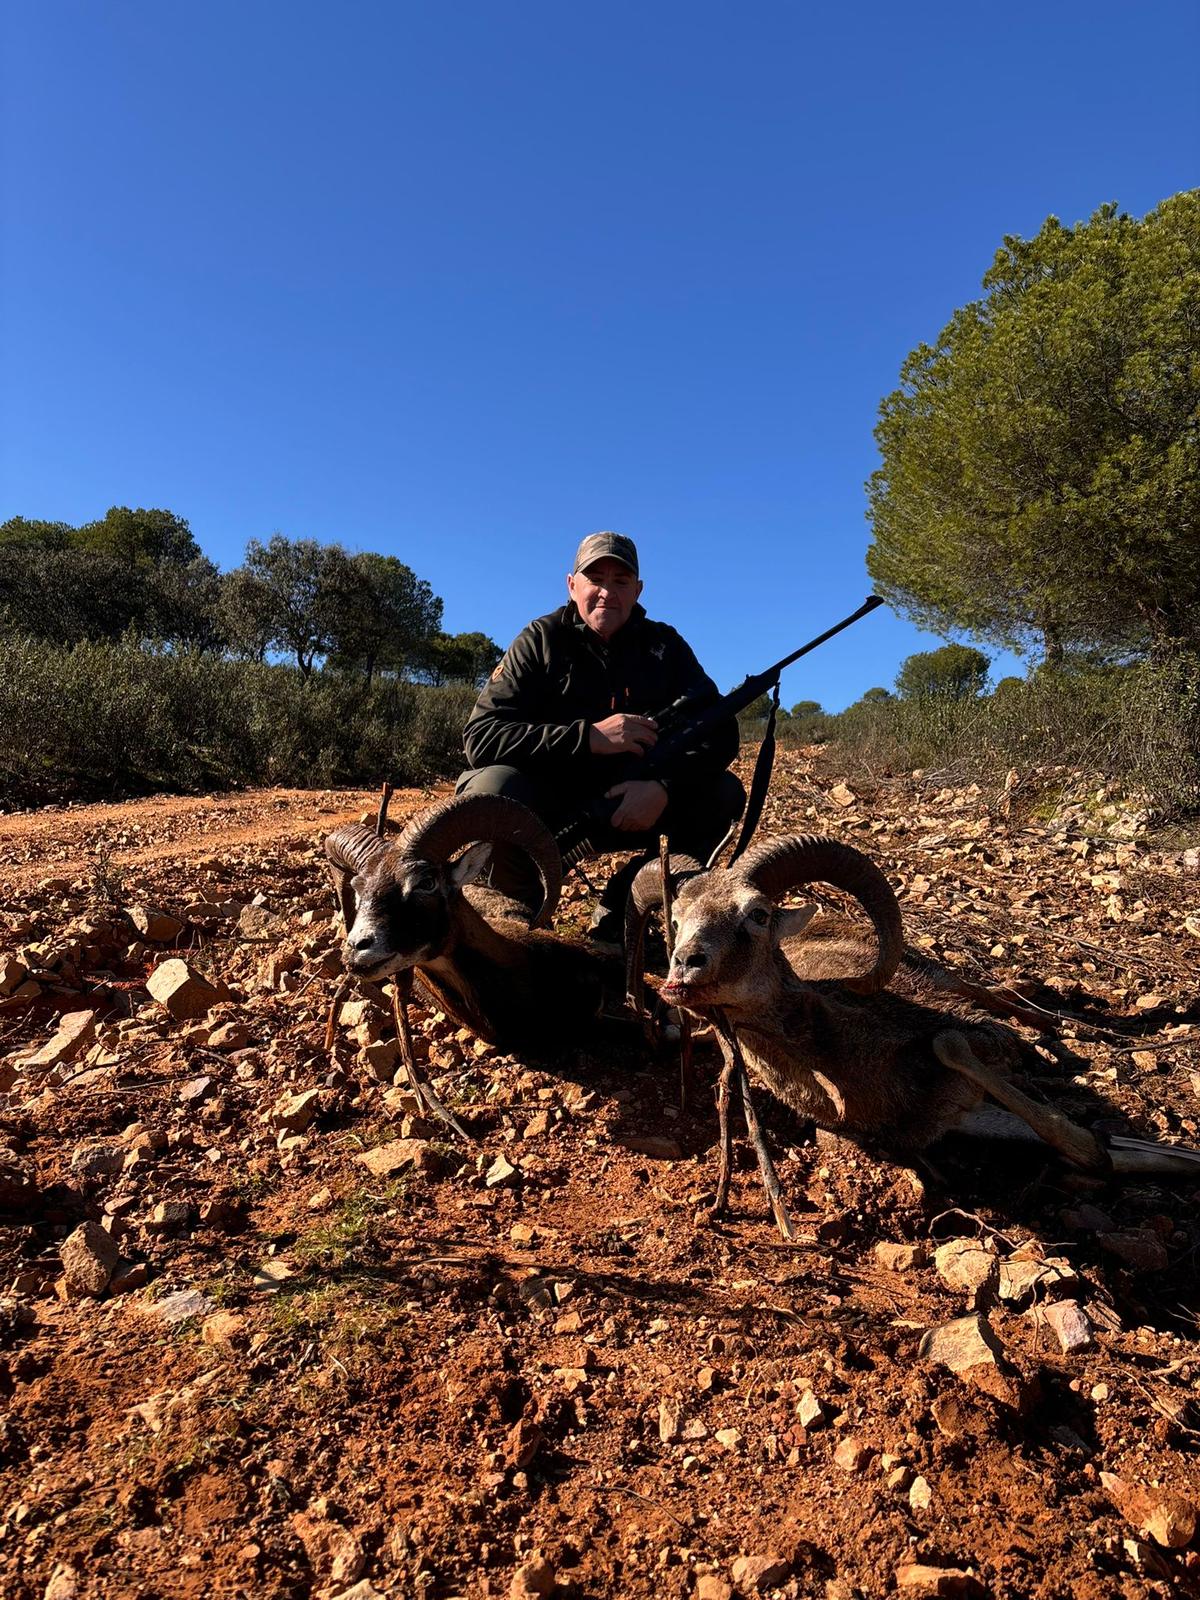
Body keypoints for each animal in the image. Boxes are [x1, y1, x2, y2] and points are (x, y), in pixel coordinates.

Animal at [626, 834, 1199, 1232]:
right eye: (674, 920)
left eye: (758, 914)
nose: (685, 966)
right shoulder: (952, 1119)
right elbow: (1104, 1152)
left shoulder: (978, 1046)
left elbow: (957, 1045)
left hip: (945, 977)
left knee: (1001, 992)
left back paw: (1059, 1028)